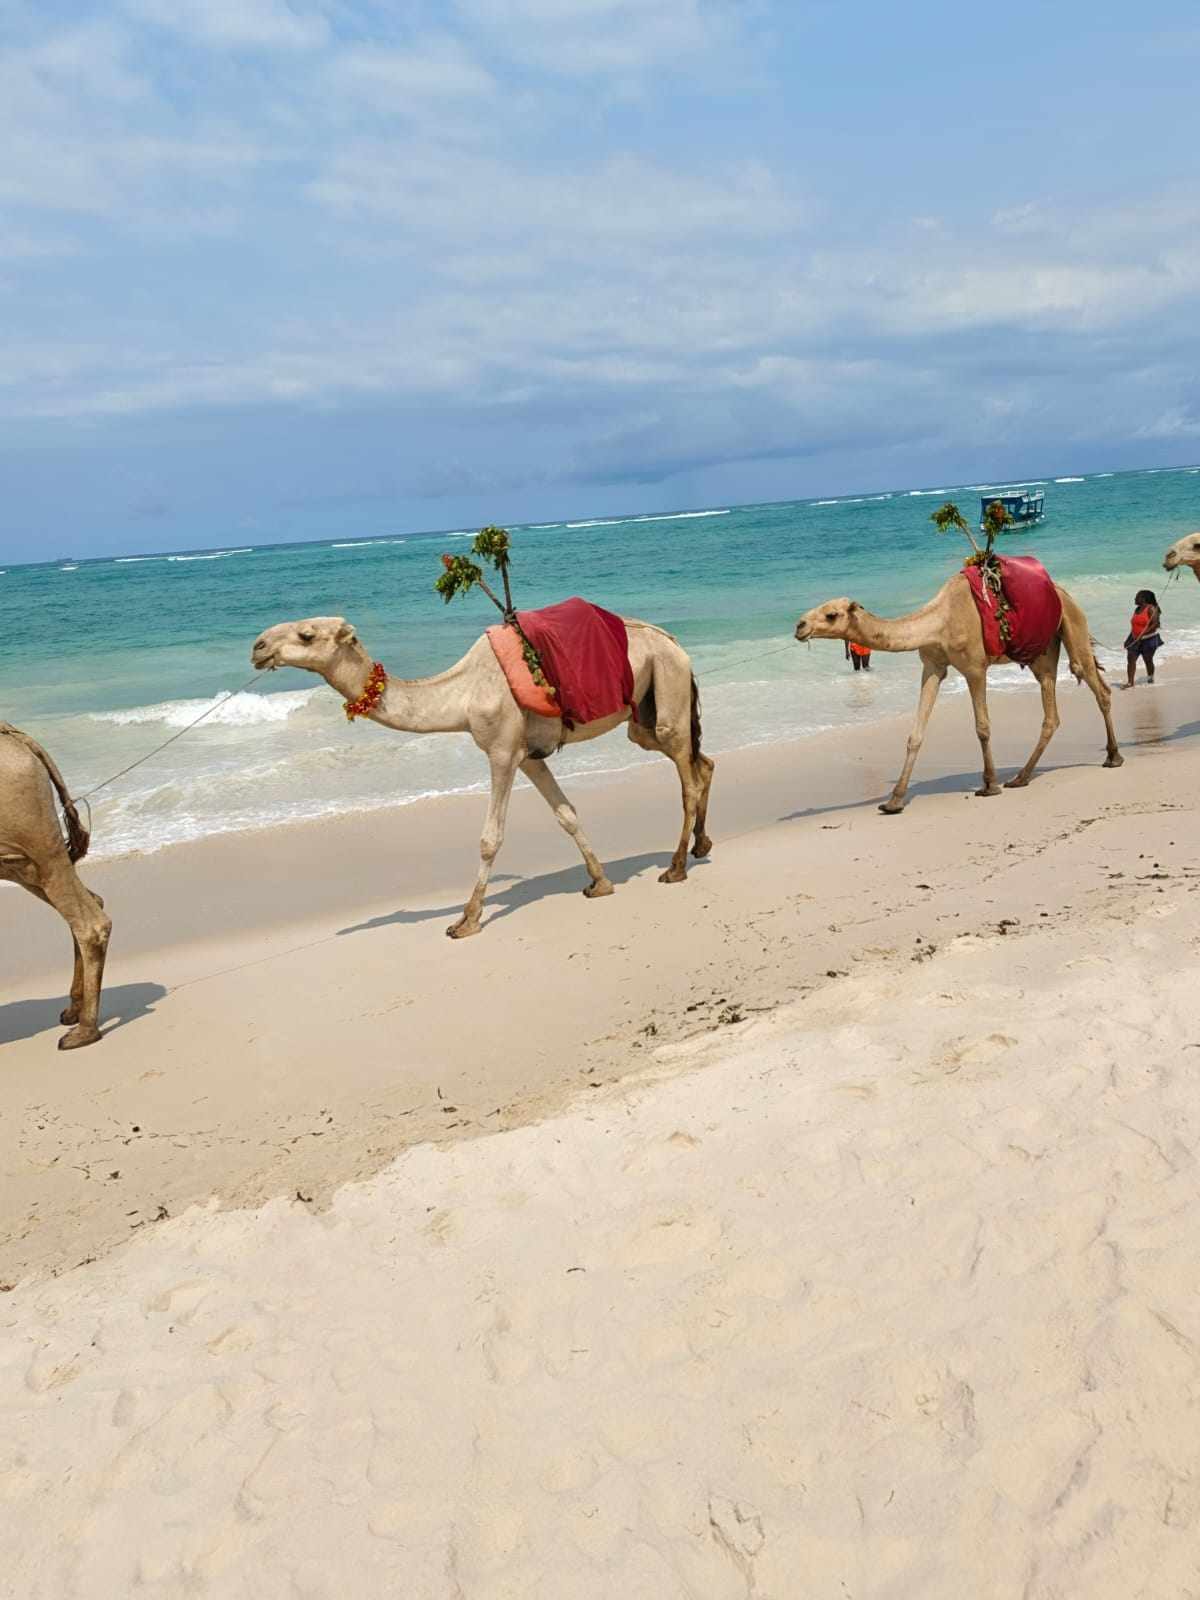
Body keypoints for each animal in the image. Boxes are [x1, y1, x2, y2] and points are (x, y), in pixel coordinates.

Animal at [1, 724, 111, 1048]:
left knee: (90, 922)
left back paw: (85, 1030)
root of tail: (19, 738)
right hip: (20, 861)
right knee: (88, 904)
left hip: (38, 843)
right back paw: (74, 1010)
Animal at [250, 616, 715, 937]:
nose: (258, 646)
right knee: (701, 763)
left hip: (667, 683)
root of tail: (676, 643)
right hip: (644, 714)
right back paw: (701, 844)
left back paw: (675, 867)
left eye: (306, 635)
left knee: (687, 776)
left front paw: (466, 920)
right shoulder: (528, 755)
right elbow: (566, 813)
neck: (463, 693)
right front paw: (599, 882)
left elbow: (490, 837)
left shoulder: (502, 751)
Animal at [793, 574, 1122, 813]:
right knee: (1052, 710)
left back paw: (1113, 757)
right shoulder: (932, 666)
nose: (799, 625)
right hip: (1042, 653)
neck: (940, 619)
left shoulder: (975, 667)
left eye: (831, 614)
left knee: (1095, 685)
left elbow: (982, 727)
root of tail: (1065, 593)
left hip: (1072, 624)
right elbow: (915, 734)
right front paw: (894, 801)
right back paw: (1021, 777)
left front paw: (989, 785)